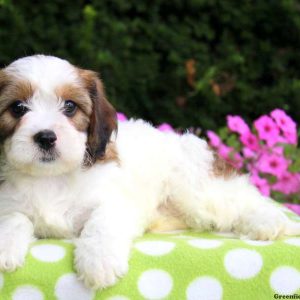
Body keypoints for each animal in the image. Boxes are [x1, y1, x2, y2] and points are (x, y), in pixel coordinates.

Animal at [0, 55, 300, 290]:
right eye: (18, 108)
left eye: (70, 107)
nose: (46, 137)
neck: (51, 177)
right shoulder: (9, 202)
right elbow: (13, 218)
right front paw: (5, 247)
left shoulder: (115, 203)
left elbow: (101, 224)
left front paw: (99, 261)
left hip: (197, 190)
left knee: (243, 198)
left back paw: (267, 222)